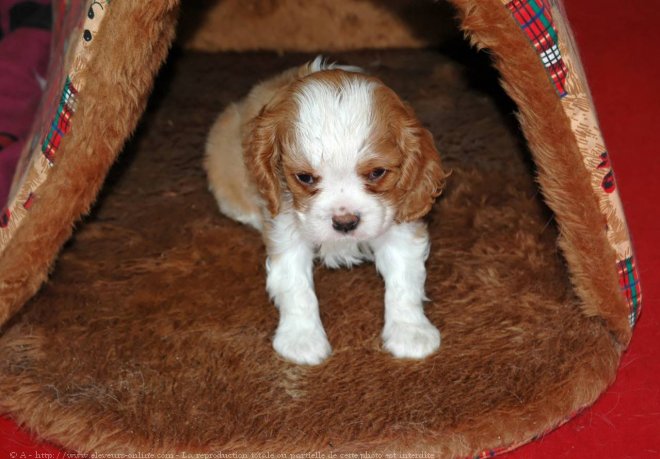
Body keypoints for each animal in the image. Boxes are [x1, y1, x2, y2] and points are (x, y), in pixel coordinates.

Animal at [204, 57, 446, 366]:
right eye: (304, 177)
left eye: (377, 173)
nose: (345, 222)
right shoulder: (286, 227)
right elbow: (295, 285)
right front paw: (301, 338)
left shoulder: (398, 220)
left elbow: (404, 280)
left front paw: (410, 330)